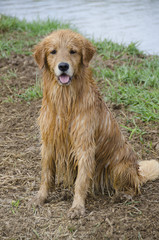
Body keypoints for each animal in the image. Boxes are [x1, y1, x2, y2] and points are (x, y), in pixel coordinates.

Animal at [33, 29, 159, 218]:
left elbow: (81, 182)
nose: (63, 66)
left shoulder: (85, 145)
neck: (66, 101)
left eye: (73, 51)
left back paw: (123, 195)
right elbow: (46, 174)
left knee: (134, 187)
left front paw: (77, 207)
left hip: (120, 166)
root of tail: (137, 172)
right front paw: (41, 197)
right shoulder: (48, 142)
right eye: (53, 52)